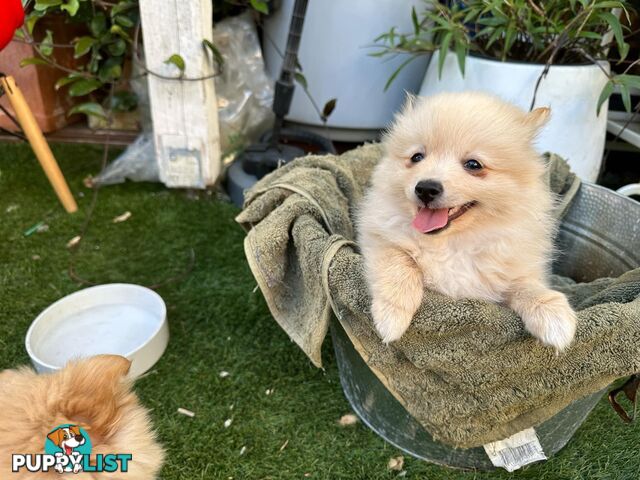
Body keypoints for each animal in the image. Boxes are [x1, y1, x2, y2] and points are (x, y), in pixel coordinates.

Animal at [360, 92, 576, 350]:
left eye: (473, 165)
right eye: (417, 157)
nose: (426, 188)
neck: (453, 244)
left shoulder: (506, 274)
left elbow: (525, 285)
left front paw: (552, 313)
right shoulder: (378, 237)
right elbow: (400, 262)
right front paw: (392, 314)